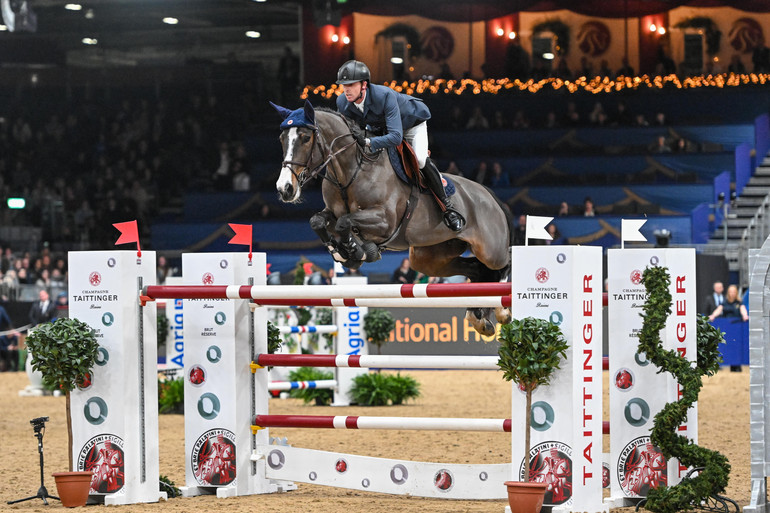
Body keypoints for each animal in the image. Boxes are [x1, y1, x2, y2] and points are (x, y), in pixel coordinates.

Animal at [270, 99, 510, 336]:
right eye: (281, 139)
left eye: (305, 137)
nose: (285, 189)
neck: (351, 171)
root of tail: (491, 196)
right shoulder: (332, 212)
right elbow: (318, 221)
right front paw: (342, 252)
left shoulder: (385, 221)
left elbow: (345, 223)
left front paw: (356, 251)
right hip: (430, 258)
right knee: (477, 270)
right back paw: (479, 318)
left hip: (490, 250)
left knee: (503, 263)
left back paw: (501, 311)